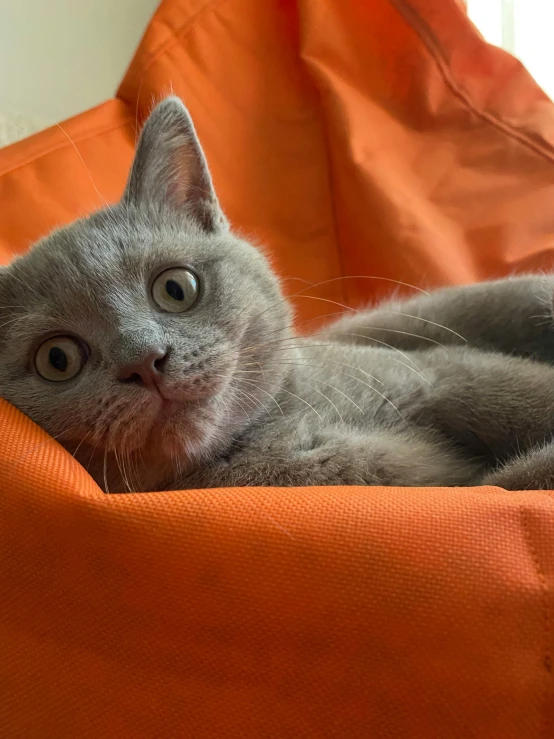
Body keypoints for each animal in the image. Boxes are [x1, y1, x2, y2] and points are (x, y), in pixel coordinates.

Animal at [1, 97, 552, 492]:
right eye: (57, 358)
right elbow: (503, 484)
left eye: (176, 288)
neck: (272, 442)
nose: (146, 359)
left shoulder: (440, 373)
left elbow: (521, 398)